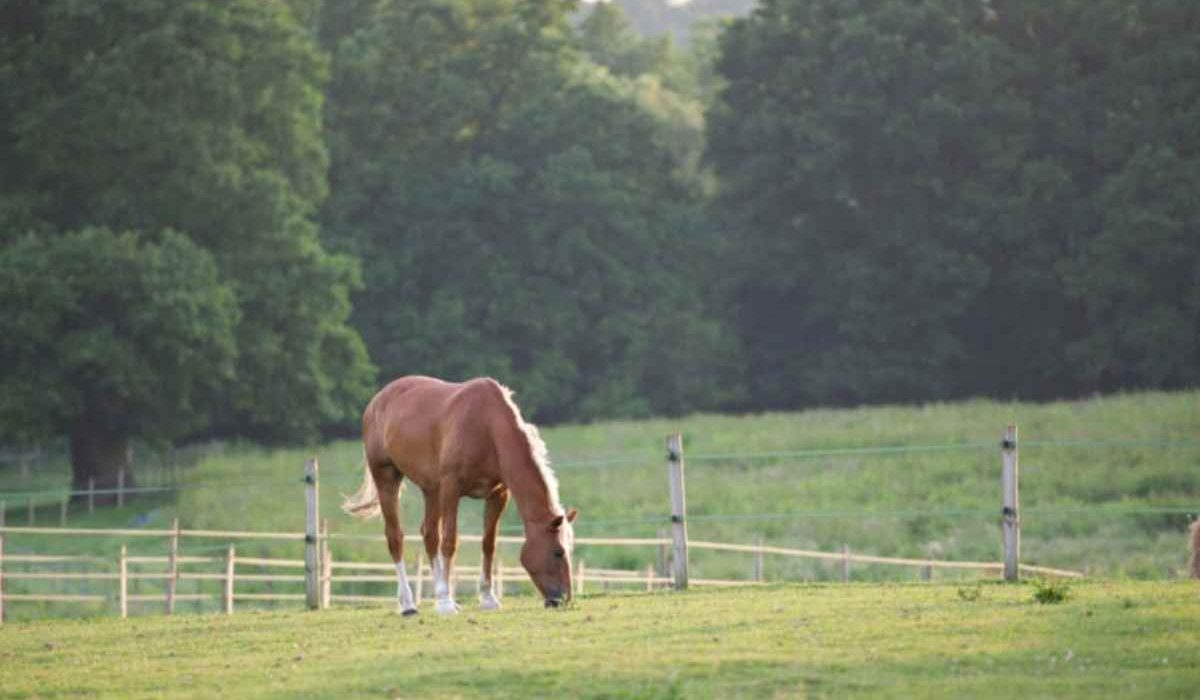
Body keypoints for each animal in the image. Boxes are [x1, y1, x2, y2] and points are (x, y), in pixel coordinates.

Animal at [342, 375, 577, 614]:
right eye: (558, 552)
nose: (563, 599)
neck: (487, 427)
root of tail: (377, 401)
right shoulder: (451, 487)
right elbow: (450, 542)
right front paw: (445, 603)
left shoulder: (498, 494)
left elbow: (488, 543)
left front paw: (487, 598)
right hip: (388, 479)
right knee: (395, 537)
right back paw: (409, 603)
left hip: (432, 491)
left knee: (429, 535)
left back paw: (439, 593)